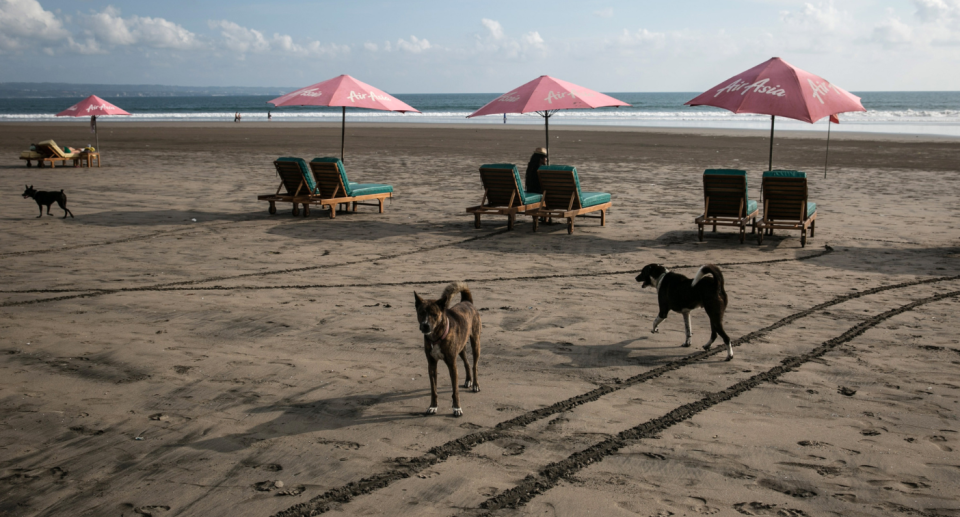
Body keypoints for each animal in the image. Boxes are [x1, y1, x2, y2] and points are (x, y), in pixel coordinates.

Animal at [416, 282, 484, 416]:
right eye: (421, 313)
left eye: (434, 315)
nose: (425, 325)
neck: (436, 337)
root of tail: (467, 301)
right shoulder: (432, 365)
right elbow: (433, 390)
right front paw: (433, 406)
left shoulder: (452, 365)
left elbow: (455, 390)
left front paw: (457, 408)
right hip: (461, 348)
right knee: (467, 363)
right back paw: (468, 380)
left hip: (475, 342)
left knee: (474, 365)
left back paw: (475, 384)